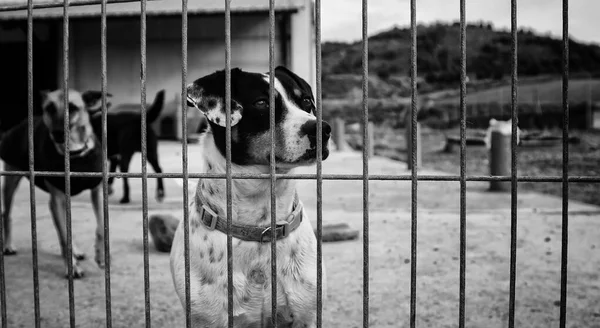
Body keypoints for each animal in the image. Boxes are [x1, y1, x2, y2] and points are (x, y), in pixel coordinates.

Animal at [0, 88, 106, 278]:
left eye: (73, 107)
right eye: (49, 108)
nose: (57, 134)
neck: (73, 152)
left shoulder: (97, 192)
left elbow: (101, 227)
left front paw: (100, 256)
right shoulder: (56, 200)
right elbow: (64, 237)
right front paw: (72, 267)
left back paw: (76, 250)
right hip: (11, 180)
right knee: (6, 213)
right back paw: (8, 245)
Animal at [170, 67, 332, 328]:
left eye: (306, 101)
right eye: (261, 103)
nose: (322, 129)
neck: (259, 224)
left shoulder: (306, 315)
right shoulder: (205, 319)